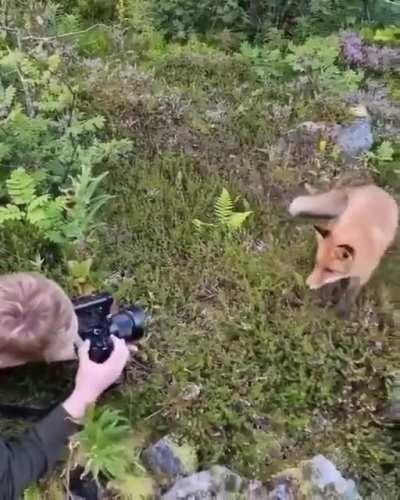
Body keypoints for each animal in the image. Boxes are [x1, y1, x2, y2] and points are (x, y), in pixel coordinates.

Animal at [290, 184, 398, 316]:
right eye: (317, 263)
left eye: (329, 270)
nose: (307, 284)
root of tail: (377, 189)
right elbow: (330, 285)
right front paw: (324, 300)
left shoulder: (362, 276)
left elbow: (349, 294)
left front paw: (342, 312)